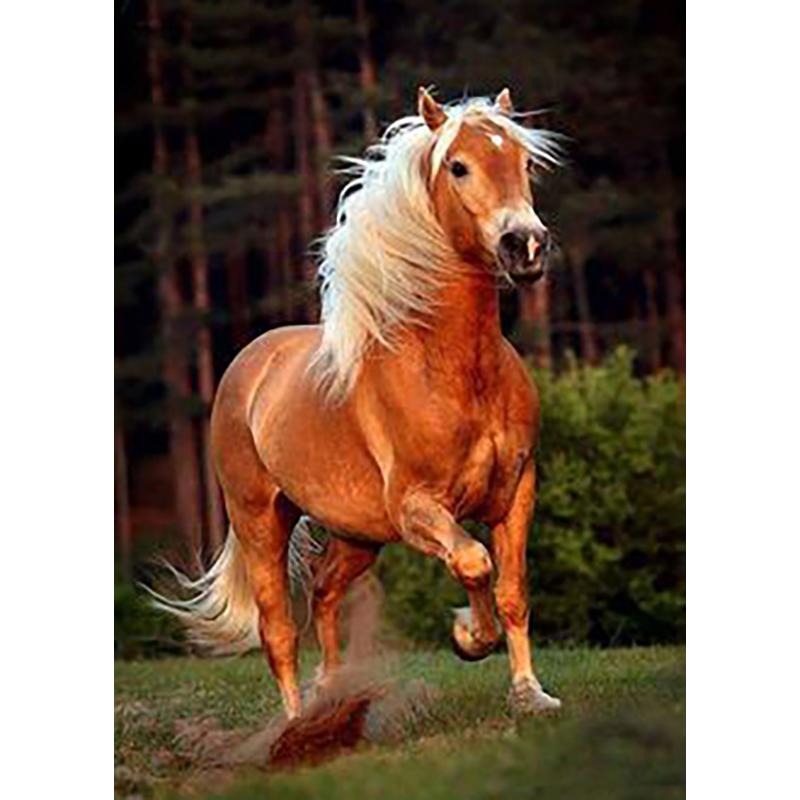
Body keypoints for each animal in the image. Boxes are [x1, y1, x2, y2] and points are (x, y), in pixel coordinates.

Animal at [155, 87, 564, 719]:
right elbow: (473, 562)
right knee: (279, 630)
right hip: (260, 520)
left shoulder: (516, 490)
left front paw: (529, 693)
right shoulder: (418, 508)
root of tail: (248, 364)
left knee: (324, 591)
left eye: (524, 163)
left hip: (357, 535)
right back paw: (295, 723)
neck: (456, 374)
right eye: (458, 166)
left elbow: (513, 590)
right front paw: (467, 637)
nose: (526, 245)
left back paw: (330, 693)